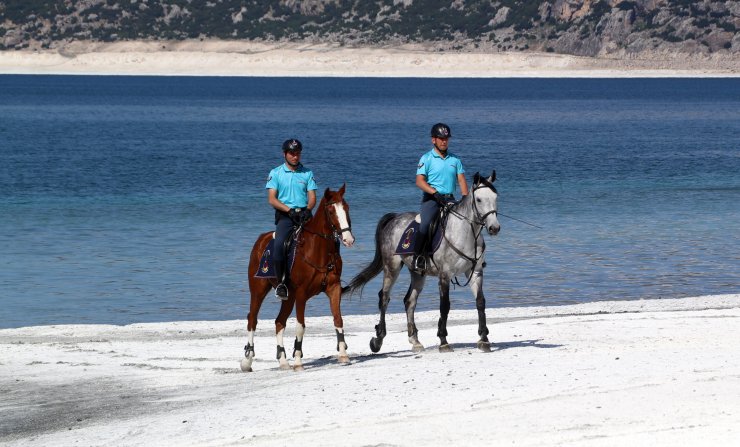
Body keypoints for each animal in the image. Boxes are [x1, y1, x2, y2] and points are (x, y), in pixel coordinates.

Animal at [240, 184, 356, 372]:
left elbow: (338, 319)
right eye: (331, 211)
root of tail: (261, 240)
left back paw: (283, 361)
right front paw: (298, 361)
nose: (348, 239)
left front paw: (343, 354)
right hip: (258, 290)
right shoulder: (302, 294)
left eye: (346, 208)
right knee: (252, 319)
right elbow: (300, 327)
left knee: (279, 322)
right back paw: (247, 361)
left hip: (289, 297)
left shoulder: (334, 288)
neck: (318, 250)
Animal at [344, 172, 500, 354]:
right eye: (479, 200)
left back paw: (415, 340)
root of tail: (395, 217)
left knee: (409, 301)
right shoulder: (444, 275)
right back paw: (378, 340)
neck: (464, 233)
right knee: (384, 297)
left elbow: (480, 302)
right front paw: (443, 341)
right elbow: (444, 306)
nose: (494, 228)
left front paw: (484, 339)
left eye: (495, 197)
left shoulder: (475, 272)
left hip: (418, 272)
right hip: (392, 267)